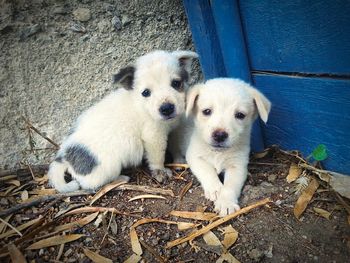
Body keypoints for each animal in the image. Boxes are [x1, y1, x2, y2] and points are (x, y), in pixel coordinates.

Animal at [47, 50, 198, 193]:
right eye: (146, 93)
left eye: (176, 83)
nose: (166, 109)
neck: (141, 105)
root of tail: (64, 157)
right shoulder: (153, 137)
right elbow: (157, 157)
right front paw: (160, 171)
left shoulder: (172, 130)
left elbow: (174, 145)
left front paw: (179, 160)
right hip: (108, 167)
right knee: (90, 184)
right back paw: (120, 179)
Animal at [185, 78, 272, 217]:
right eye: (206, 111)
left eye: (240, 115)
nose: (219, 135)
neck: (218, 153)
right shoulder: (194, 157)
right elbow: (207, 171)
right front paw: (215, 189)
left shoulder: (238, 166)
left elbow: (230, 186)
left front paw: (226, 203)